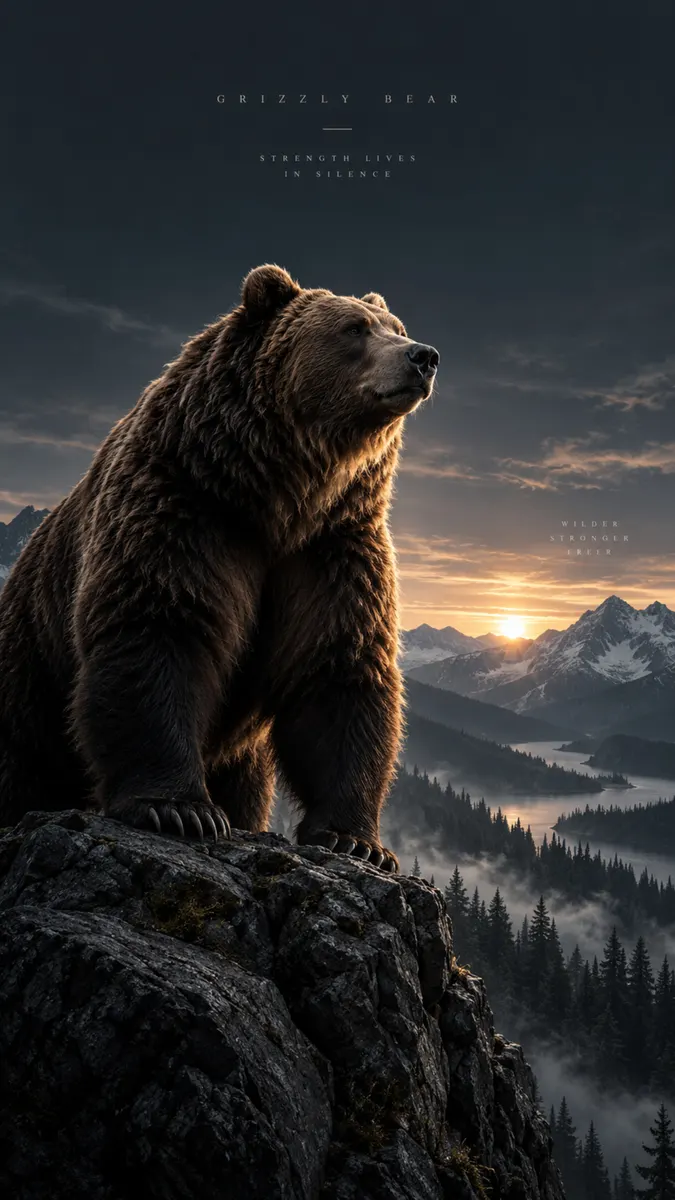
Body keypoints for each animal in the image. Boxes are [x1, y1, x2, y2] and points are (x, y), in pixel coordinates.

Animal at [0, 265, 439, 872]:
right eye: (354, 328)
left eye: (395, 326)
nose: (423, 356)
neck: (280, 496)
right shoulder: (186, 510)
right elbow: (161, 630)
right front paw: (179, 810)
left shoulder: (331, 550)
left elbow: (339, 668)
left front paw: (356, 840)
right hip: (31, 671)